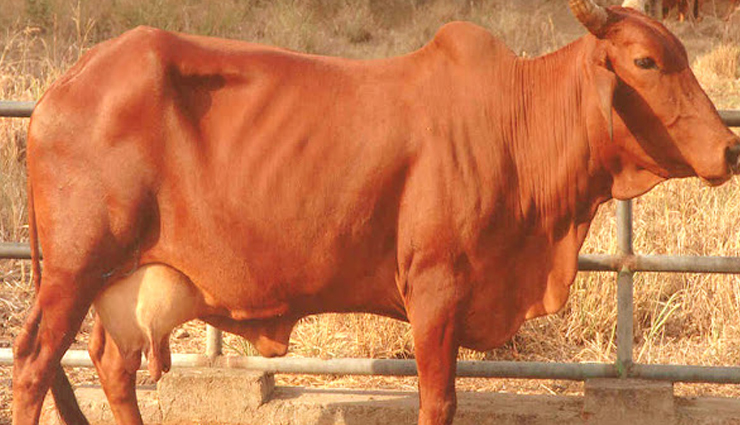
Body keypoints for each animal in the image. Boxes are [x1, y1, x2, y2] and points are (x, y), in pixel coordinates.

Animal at [12, 0, 740, 424]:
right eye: (645, 60)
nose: (730, 148)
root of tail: (63, 85)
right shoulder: (436, 287)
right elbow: (439, 398)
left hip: (118, 278)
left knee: (111, 363)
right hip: (74, 271)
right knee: (34, 364)